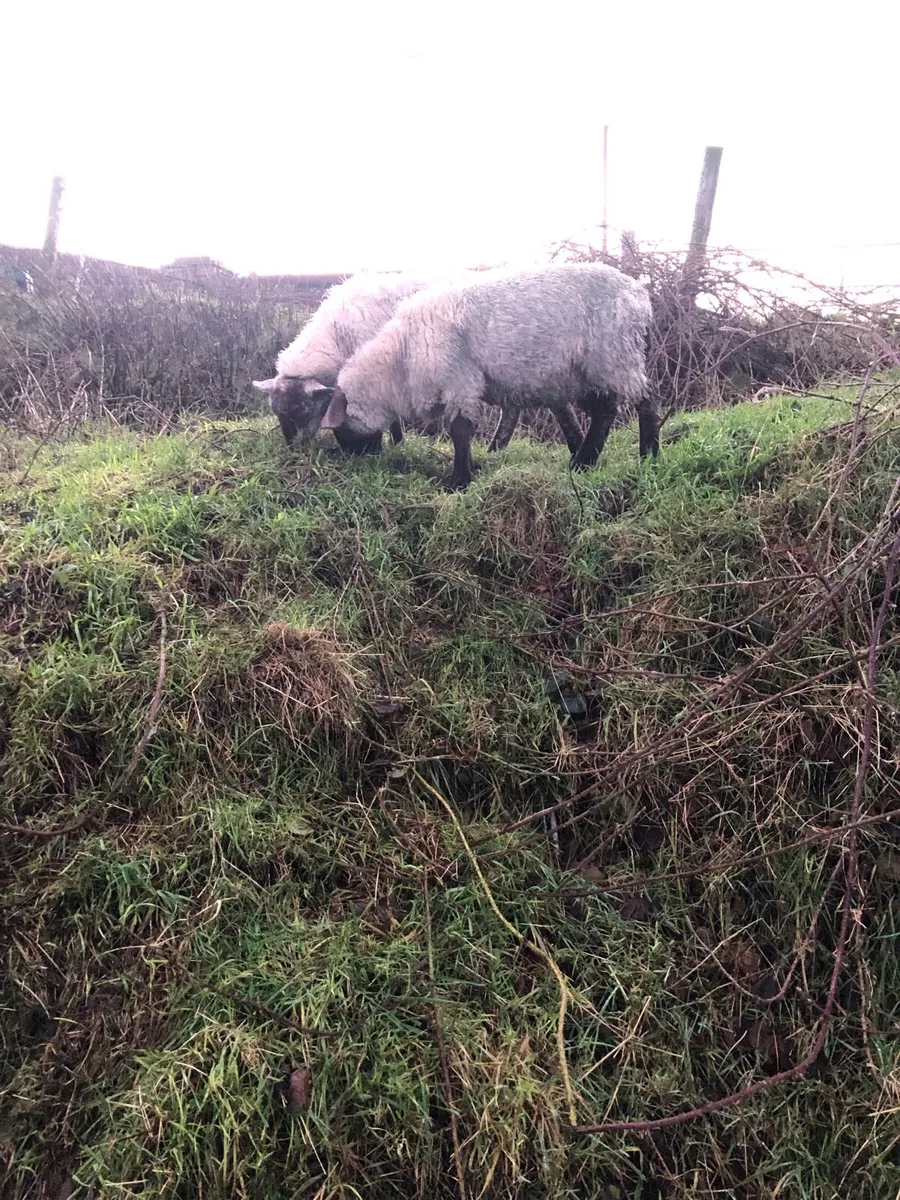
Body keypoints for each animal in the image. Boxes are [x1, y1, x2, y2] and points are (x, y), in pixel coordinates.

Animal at [252, 271, 583, 458]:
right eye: (278, 414)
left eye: (303, 411)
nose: (295, 453)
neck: (337, 334)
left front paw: (395, 442)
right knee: (516, 407)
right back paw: (500, 450)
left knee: (550, 406)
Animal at [316, 262, 658, 489]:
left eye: (341, 428)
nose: (360, 460)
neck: (402, 359)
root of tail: (639, 294)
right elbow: (462, 431)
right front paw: (469, 471)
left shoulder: (460, 380)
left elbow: (460, 430)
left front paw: (458, 481)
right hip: (586, 371)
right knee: (604, 409)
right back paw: (584, 463)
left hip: (615, 355)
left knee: (644, 401)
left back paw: (648, 456)